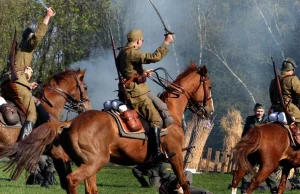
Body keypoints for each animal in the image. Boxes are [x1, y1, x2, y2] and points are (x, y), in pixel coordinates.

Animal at [1, 61, 214, 194]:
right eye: (209, 87)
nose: (209, 111)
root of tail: (70, 123)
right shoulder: (176, 155)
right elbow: (184, 183)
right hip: (95, 162)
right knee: (71, 181)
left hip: (89, 163)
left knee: (86, 187)